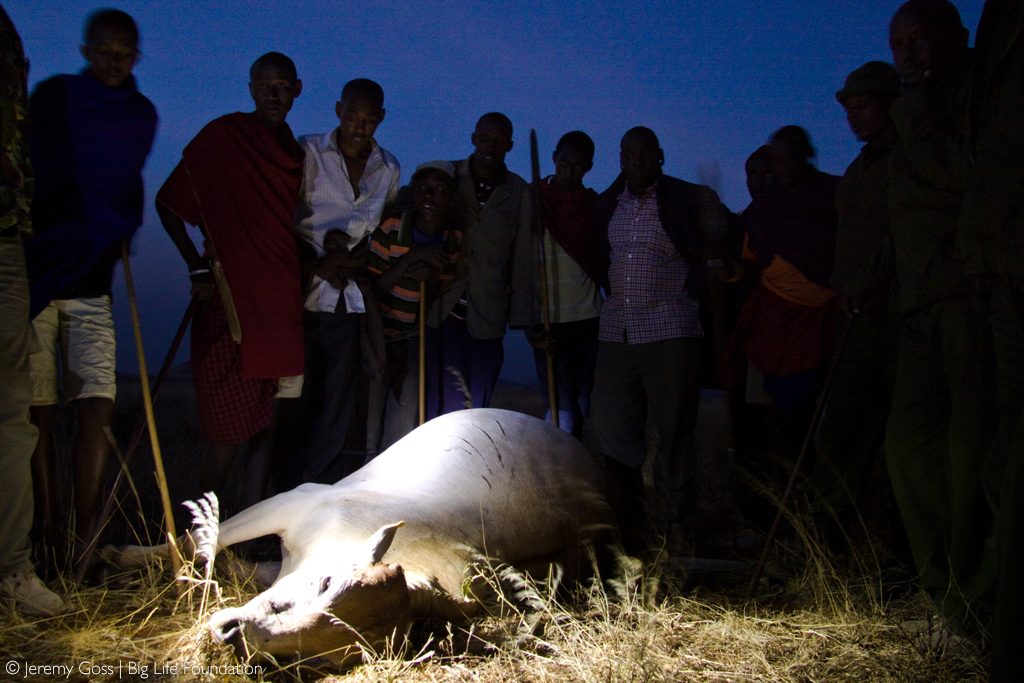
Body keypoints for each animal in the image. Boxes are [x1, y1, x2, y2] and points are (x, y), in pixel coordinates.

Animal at [104, 411, 614, 667]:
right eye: (327, 582)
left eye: (332, 657)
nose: (230, 636)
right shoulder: (293, 500)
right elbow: (199, 541)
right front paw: (119, 554)